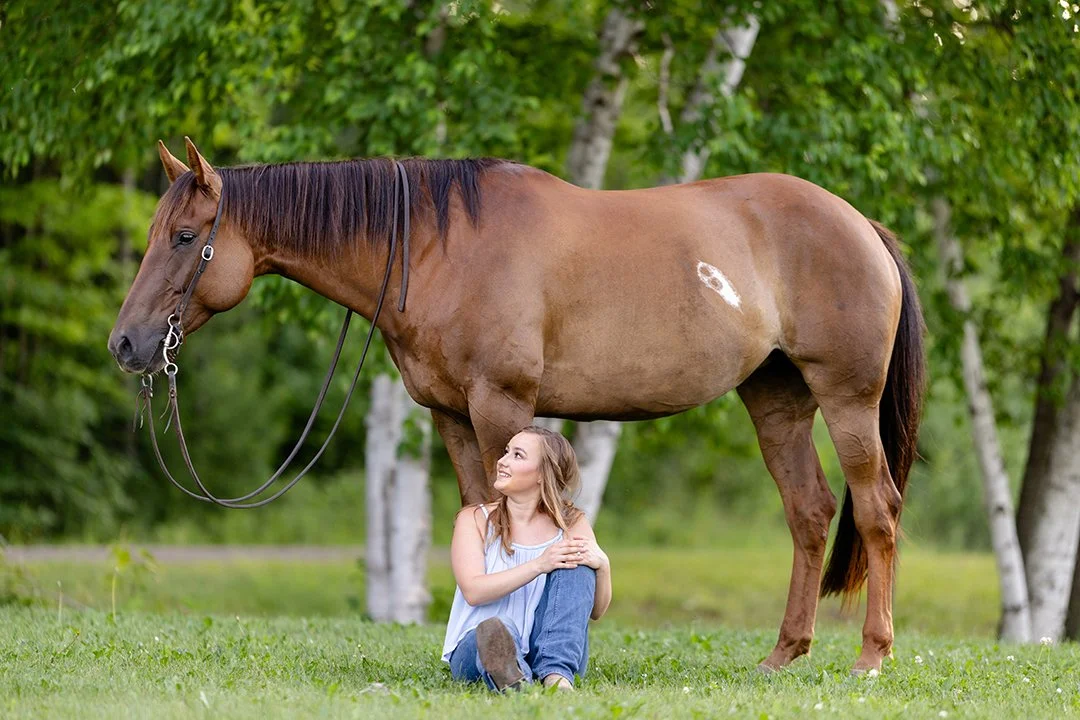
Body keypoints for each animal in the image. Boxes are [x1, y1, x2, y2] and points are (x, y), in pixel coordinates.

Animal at [109, 138, 925, 674]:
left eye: (185, 236)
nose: (126, 343)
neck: (437, 247)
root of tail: (864, 227)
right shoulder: (451, 416)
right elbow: (477, 521)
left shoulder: (502, 408)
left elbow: (512, 534)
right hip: (777, 399)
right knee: (811, 512)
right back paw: (784, 655)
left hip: (846, 399)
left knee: (876, 509)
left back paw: (871, 657)